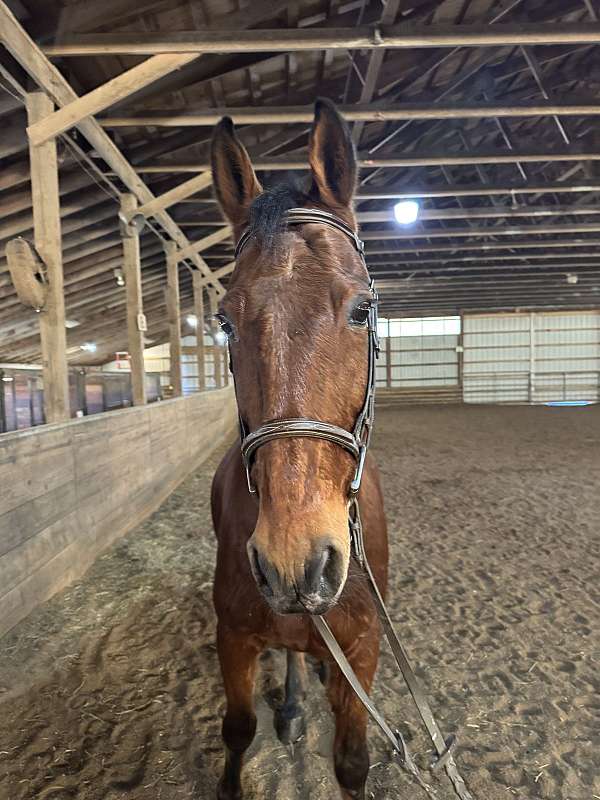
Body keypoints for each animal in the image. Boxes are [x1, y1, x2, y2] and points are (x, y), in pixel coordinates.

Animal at [211, 100, 390, 800]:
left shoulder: (362, 656)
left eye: (363, 309)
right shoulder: (233, 639)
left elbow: (352, 763)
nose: (295, 560)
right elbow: (238, 731)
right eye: (225, 321)